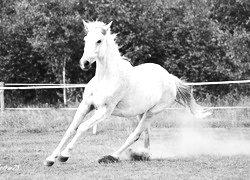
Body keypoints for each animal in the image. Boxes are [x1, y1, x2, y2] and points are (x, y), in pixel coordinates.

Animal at [43, 20, 209, 166]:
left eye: (99, 40)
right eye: (85, 39)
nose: (85, 63)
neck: (106, 78)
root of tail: (170, 78)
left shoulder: (104, 111)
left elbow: (82, 127)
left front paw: (64, 155)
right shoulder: (85, 105)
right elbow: (71, 129)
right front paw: (50, 159)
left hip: (152, 112)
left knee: (134, 135)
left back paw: (111, 157)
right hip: (142, 113)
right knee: (145, 136)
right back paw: (142, 155)